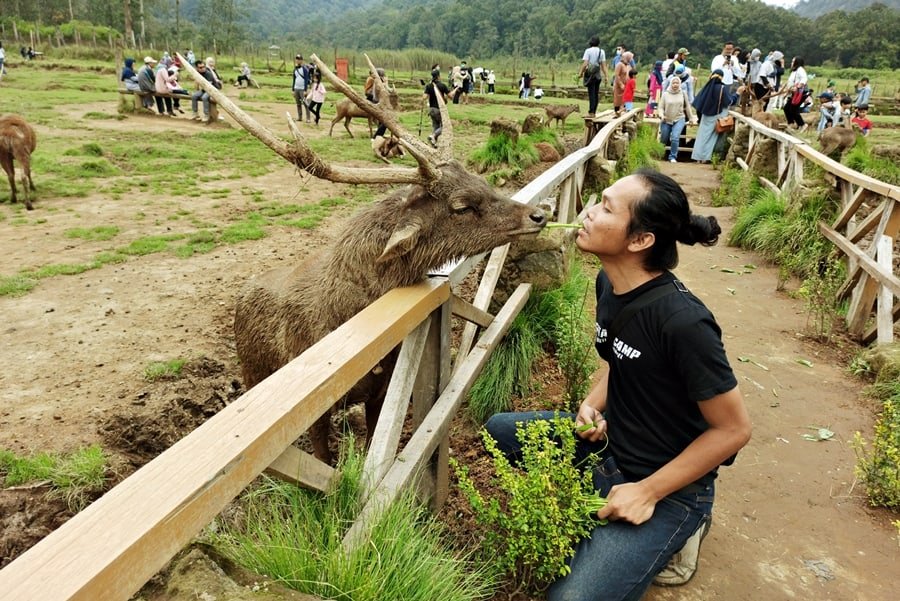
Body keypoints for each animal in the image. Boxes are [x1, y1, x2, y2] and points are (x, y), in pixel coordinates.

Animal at [178, 52, 548, 464]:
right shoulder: (316, 411)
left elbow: (373, 441)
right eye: (462, 206)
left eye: (479, 179)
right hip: (250, 370)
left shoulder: (381, 391)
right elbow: (323, 457)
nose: (538, 214)